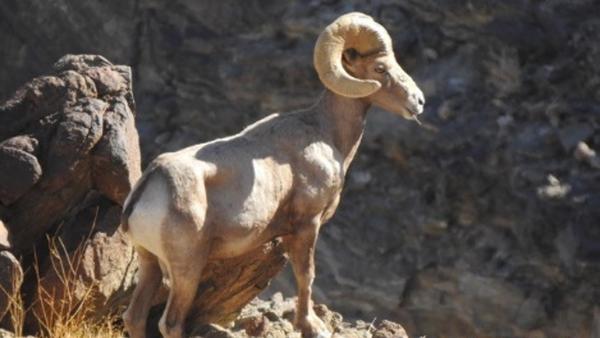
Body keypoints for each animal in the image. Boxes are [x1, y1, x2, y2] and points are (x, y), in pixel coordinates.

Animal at [120, 11, 422, 338]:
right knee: (171, 323)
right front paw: (310, 326)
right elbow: (306, 275)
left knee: (134, 317)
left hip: (149, 263)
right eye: (380, 68)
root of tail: (151, 182)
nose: (418, 102)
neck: (326, 133)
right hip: (186, 269)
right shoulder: (306, 225)